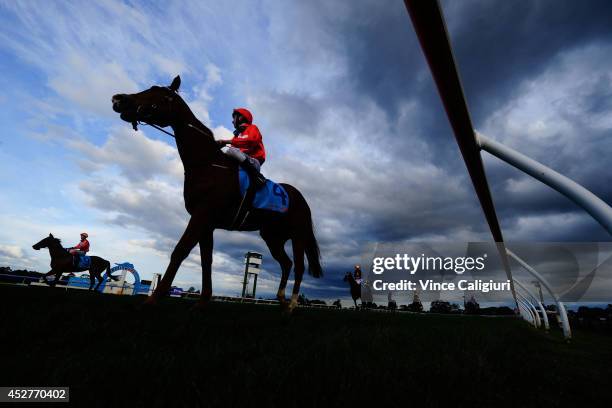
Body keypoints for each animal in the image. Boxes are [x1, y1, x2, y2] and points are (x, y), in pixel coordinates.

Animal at [110, 75, 322, 312]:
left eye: (160, 95)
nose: (118, 99)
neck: (207, 164)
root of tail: (301, 197)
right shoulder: (207, 222)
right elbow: (206, 259)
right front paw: (202, 301)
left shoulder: (201, 215)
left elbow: (180, 250)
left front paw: (152, 299)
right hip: (273, 236)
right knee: (286, 263)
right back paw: (282, 300)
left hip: (298, 235)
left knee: (299, 266)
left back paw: (292, 304)